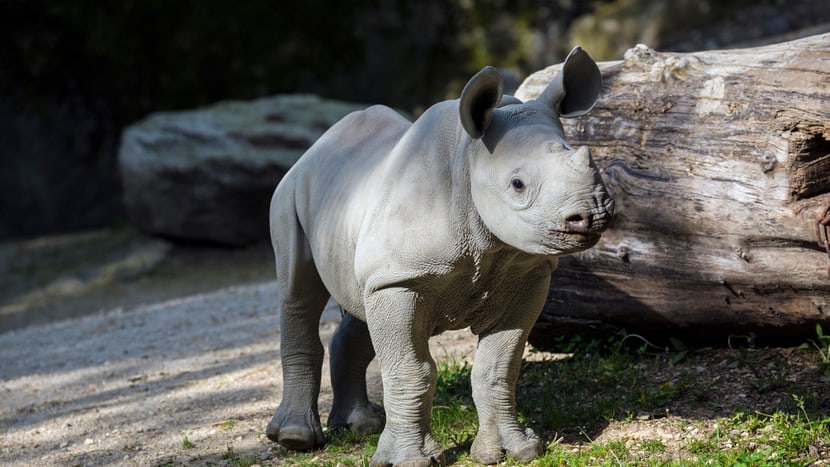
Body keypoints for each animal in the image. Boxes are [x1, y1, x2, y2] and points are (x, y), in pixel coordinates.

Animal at [270, 46, 616, 464]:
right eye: (517, 184)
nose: (592, 214)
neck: (469, 160)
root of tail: (314, 148)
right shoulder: (402, 278)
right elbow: (412, 371)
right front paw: (411, 460)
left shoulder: (526, 274)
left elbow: (498, 366)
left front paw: (513, 450)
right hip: (290, 191)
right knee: (298, 292)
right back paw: (295, 439)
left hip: (355, 216)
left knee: (360, 304)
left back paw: (360, 426)